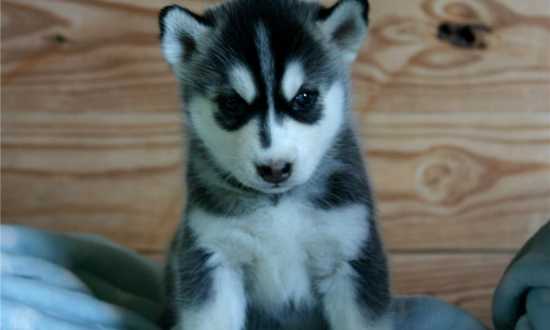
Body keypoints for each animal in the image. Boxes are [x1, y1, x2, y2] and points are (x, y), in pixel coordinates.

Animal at [160, 0, 392, 330]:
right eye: (232, 103)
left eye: (304, 97)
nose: (275, 168)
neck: (278, 204)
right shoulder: (214, 254)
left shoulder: (350, 253)